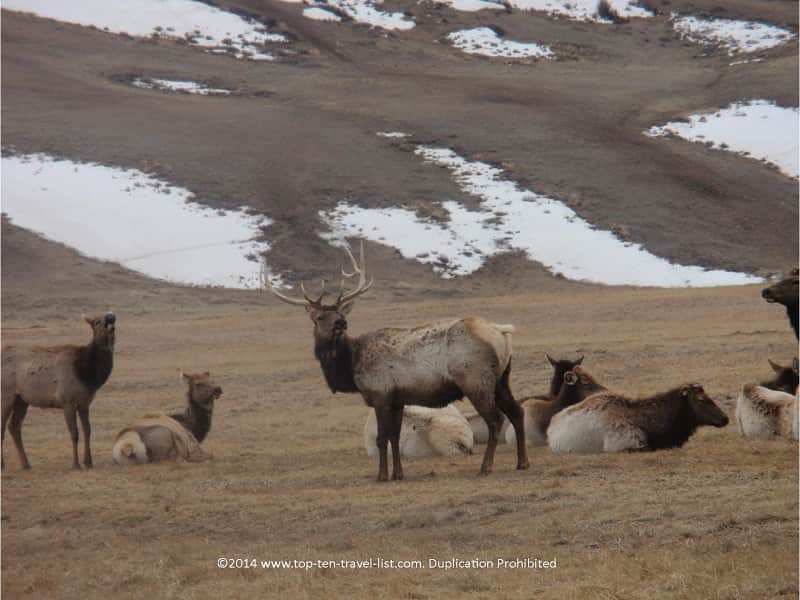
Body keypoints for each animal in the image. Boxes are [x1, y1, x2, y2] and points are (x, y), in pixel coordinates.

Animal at [2, 313, 116, 470]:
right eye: (97, 321)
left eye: (112, 318)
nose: (111, 317)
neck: (87, 375)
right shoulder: (67, 401)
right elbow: (74, 433)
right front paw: (76, 464)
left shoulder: (85, 403)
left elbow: (88, 431)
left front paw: (88, 462)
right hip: (6, 396)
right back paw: (4, 464)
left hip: (21, 400)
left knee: (14, 427)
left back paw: (26, 464)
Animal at [263, 242, 529, 481]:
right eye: (320, 317)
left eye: (339, 313)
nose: (341, 322)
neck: (351, 366)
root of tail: (502, 331)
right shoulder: (398, 399)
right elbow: (394, 436)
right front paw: (398, 474)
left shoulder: (380, 393)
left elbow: (382, 438)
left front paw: (382, 475)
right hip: (502, 379)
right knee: (517, 411)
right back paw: (522, 462)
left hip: (476, 380)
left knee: (496, 419)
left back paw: (486, 467)